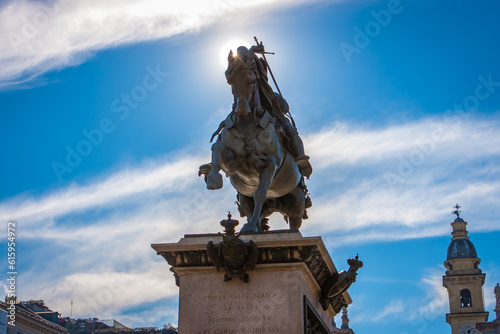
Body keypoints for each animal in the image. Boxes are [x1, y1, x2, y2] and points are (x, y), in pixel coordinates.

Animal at [201, 45, 310, 232]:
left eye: (252, 80)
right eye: (230, 81)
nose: (242, 111)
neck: (247, 124)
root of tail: (275, 204)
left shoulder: (270, 163)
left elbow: (260, 193)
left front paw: (250, 227)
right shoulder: (233, 164)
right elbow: (217, 147)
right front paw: (213, 178)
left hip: (296, 204)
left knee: (293, 226)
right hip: (245, 198)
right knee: (254, 211)